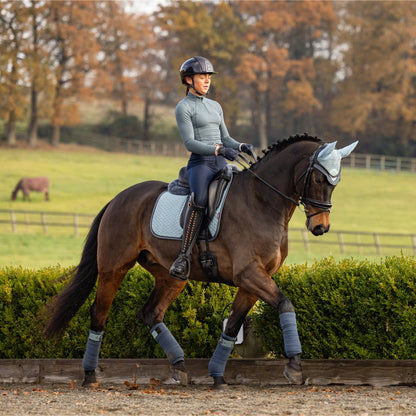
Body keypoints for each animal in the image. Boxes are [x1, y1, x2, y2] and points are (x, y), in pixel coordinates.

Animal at [44, 135, 358, 388]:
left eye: (337, 181)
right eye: (318, 179)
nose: (320, 227)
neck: (262, 201)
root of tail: (118, 198)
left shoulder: (253, 281)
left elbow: (232, 326)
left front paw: (218, 376)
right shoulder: (249, 274)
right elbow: (285, 304)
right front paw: (294, 366)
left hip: (171, 275)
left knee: (151, 313)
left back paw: (179, 367)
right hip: (114, 268)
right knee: (99, 313)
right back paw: (89, 376)